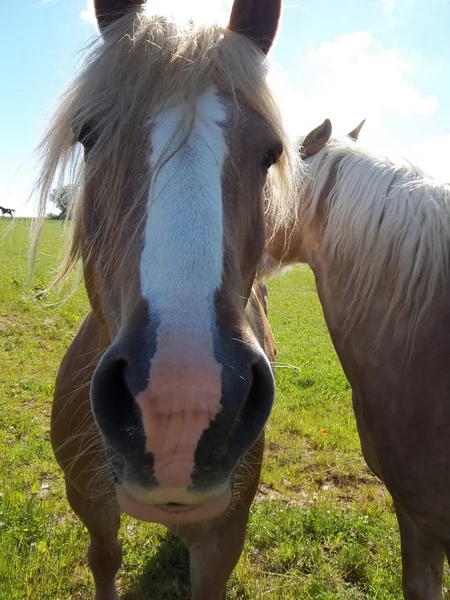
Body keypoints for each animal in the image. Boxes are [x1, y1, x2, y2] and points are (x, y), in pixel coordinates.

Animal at [37, 0, 298, 596]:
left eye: (270, 152)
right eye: (89, 134)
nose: (182, 409)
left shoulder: (224, 535)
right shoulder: (87, 500)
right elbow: (104, 558)